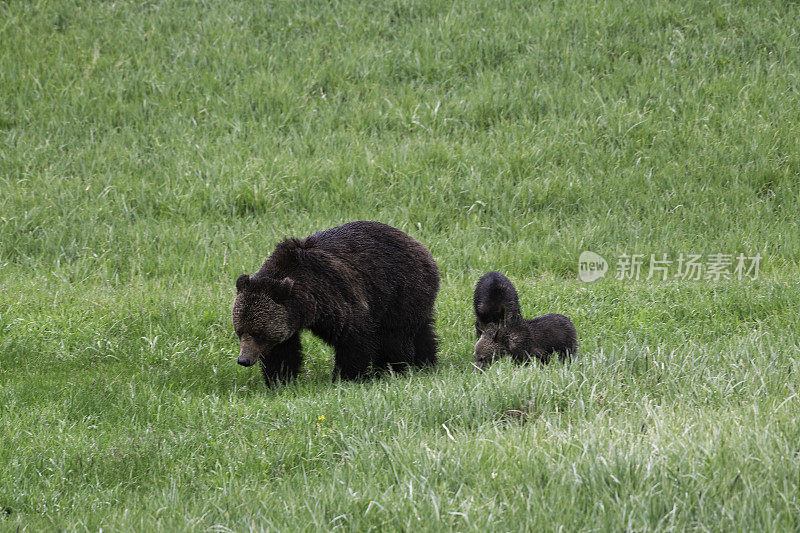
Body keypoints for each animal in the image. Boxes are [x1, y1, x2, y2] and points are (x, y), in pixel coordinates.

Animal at [231, 220, 440, 382]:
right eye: (240, 331)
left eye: (258, 333)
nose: (243, 360)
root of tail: (420, 246)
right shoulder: (288, 317)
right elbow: (283, 351)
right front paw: (280, 379)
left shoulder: (333, 295)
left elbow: (354, 336)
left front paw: (346, 376)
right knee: (423, 331)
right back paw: (426, 362)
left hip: (400, 290)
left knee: (395, 335)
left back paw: (393, 368)